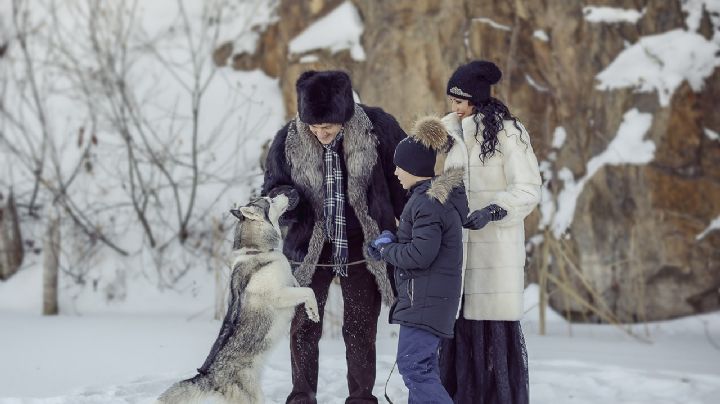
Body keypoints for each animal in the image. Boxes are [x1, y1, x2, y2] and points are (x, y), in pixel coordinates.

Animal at [159, 193, 320, 404]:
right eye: (270, 200)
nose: (286, 193)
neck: (258, 251)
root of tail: (208, 376)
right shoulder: (279, 295)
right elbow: (309, 291)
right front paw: (314, 311)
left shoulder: (290, 282)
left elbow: (303, 286)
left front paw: (310, 309)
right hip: (253, 398)